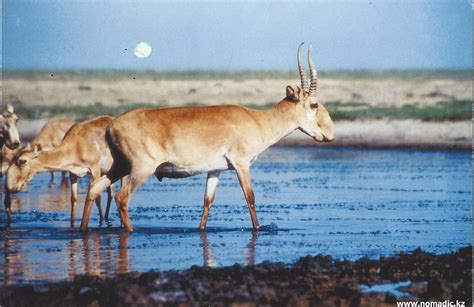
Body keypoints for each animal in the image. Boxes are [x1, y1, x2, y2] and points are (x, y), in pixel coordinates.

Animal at [80, 43, 334, 232]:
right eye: (314, 104)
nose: (329, 135)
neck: (258, 120)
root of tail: (111, 126)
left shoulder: (215, 170)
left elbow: (207, 202)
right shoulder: (241, 164)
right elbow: (250, 197)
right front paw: (258, 228)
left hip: (120, 166)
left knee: (94, 189)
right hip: (141, 169)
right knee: (122, 198)